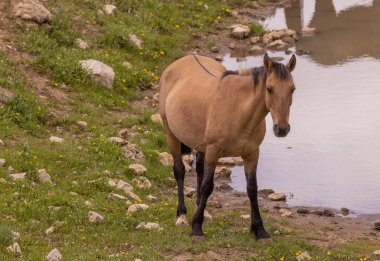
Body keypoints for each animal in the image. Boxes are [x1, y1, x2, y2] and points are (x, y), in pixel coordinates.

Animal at [159, 52, 296, 240]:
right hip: (172, 135)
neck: (238, 110)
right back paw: (182, 215)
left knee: (199, 170)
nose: (281, 129)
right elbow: (207, 186)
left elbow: (252, 189)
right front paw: (196, 228)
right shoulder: (213, 151)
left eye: (292, 89)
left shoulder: (252, 154)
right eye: (269, 88)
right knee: (179, 170)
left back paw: (203, 211)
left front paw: (259, 230)